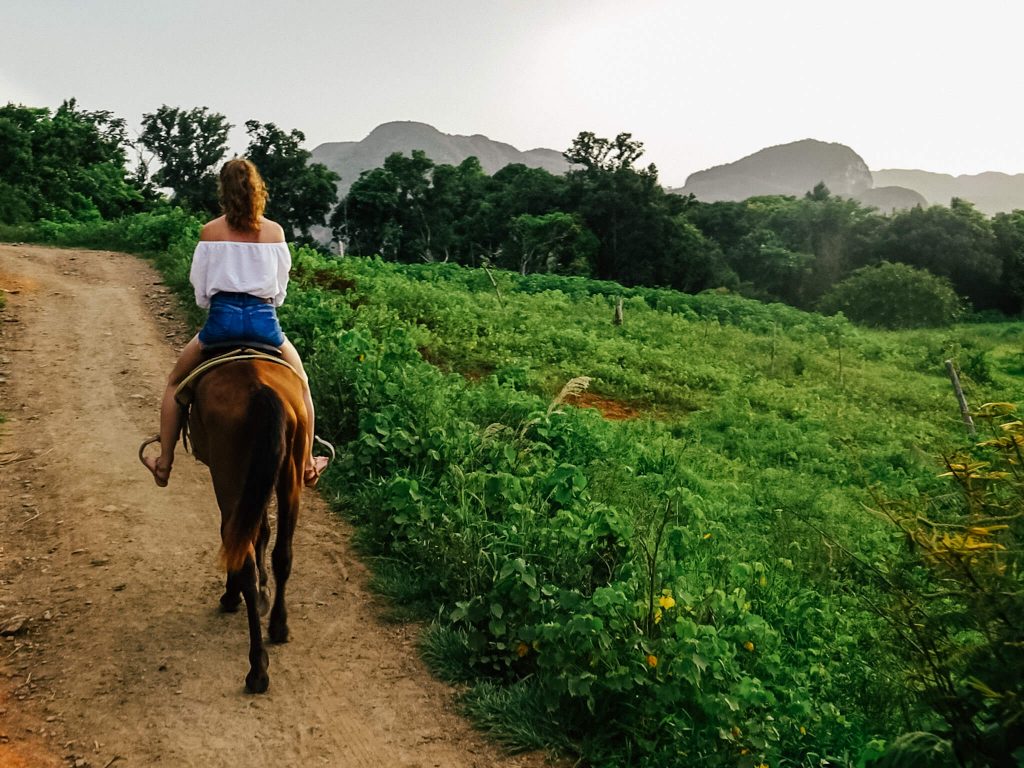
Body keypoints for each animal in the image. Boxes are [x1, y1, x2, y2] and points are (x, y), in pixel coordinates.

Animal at [188, 358, 305, 696]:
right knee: (284, 555)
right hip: (290, 475)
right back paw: (279, 626)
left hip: (228, 479)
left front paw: (231, 594)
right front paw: (266, 589)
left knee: (241, 556)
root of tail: (261, 391)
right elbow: (262, 529)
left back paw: (257, 670)